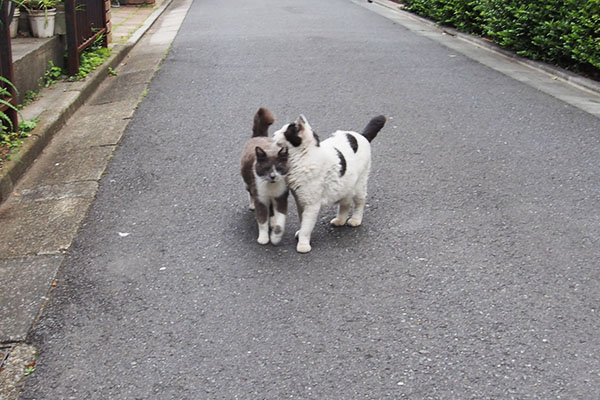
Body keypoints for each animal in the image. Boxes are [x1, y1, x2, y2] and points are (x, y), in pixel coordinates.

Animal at [240, 108, 290, 244]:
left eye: (279, 168)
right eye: (266, 168)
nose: (273, 176)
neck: (270, 187)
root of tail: (259, 136)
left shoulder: (281, 196)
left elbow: (281, 219)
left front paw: (276, 236)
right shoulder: (260, 197)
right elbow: (262, 219)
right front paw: (263, 238)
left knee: (272, 210)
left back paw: (272, 222)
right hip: (248, 182)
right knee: (250, 192)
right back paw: (252, 206)